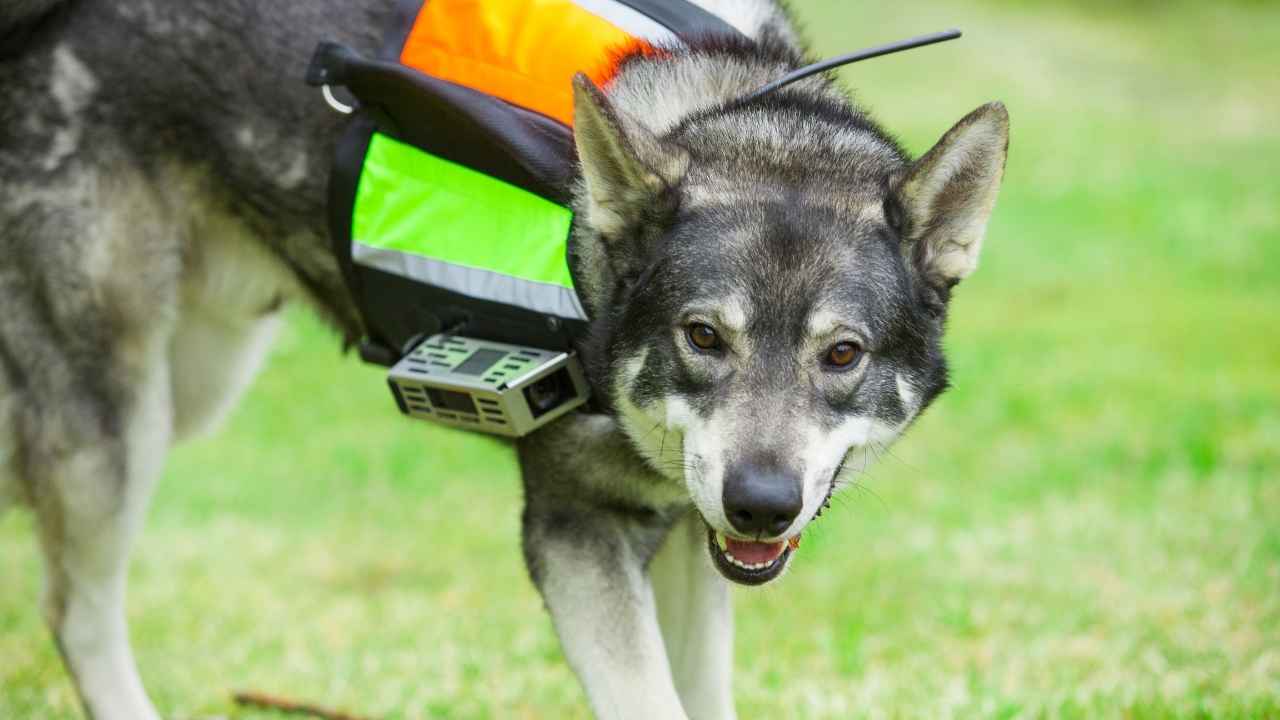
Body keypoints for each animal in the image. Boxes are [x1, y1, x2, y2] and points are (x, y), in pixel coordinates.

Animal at [0, 2, 1008, 712]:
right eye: (702, 337)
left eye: (842, 353)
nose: (762, 504)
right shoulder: (574, 534)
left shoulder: (690, 535)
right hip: (119, 423)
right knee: (76, 610)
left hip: (196, 377)